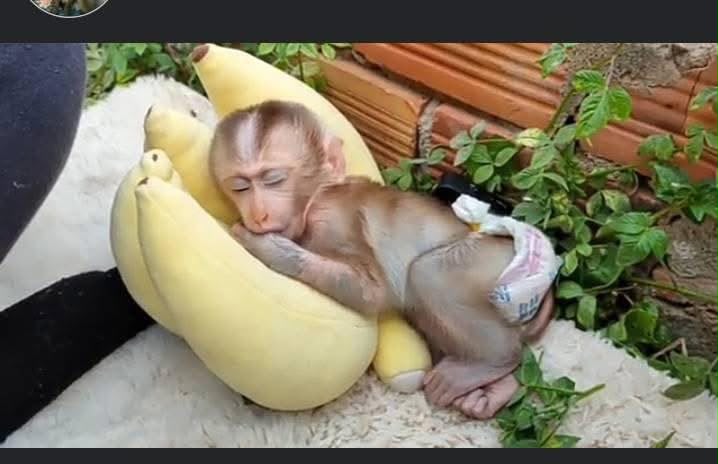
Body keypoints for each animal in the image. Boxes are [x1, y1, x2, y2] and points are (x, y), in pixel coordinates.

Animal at [208, 100, 556, 420]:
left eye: (273, 179)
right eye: (239, 187)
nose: (259, 214)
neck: (312, 201)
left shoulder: (332, 219)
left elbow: (371, 291)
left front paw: (264, 246)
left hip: (486, 260)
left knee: (427, 273)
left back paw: (495, 361)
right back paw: (496, 390)